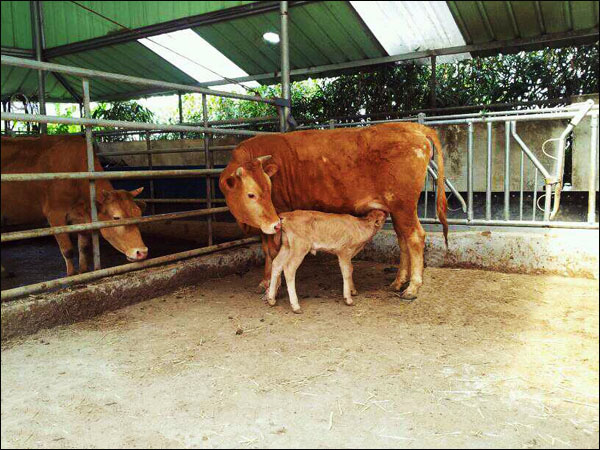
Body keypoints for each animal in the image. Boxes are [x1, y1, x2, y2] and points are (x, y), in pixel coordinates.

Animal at [2, 134, 148, 274]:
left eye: (139, 215)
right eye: (116, 218)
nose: (142, 252)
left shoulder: (81, 218)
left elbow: (83, 247)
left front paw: (83, 271)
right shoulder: (55, 214)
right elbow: (68, 250)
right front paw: (71, 275)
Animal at [219, 121, 446, 300]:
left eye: (268, 188)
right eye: (251, 194)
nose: (274, 223)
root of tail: (411, 126)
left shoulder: (279, 214)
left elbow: (273, 252)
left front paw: (271, 286)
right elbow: (267, 251)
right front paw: (265, 282)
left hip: (403, 205)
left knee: (415, 237)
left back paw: (413, 287)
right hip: (397, 209)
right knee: (403, 240)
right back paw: (398, 282)